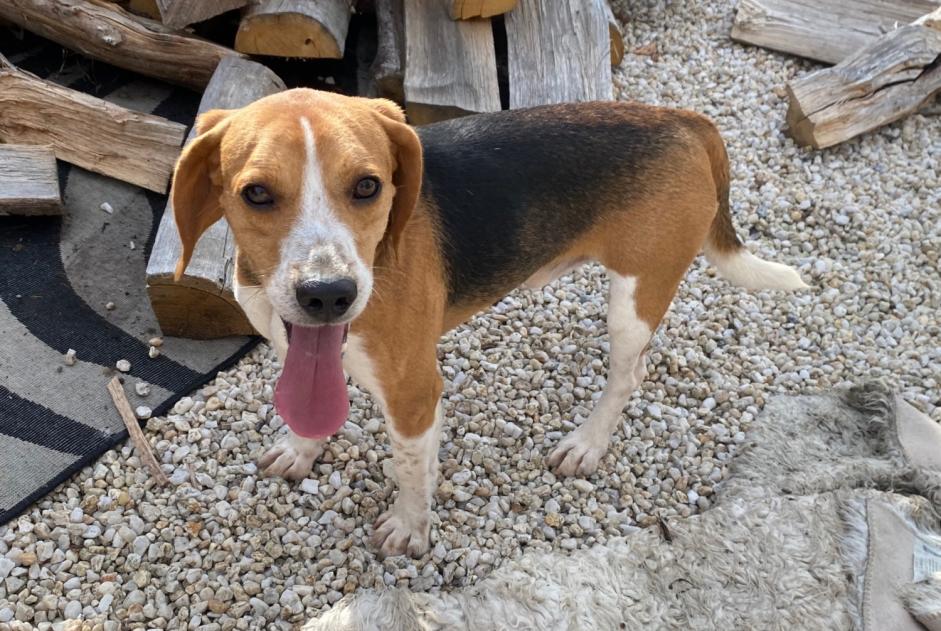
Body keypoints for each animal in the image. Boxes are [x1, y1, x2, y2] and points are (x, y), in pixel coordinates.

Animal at [171, 89, 808, 556]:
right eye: (256, 193)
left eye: (368, 186)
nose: (327, 295)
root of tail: (682, 118)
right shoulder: (290, 343)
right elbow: (310, 410)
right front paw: (301, 450)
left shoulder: (413, 391)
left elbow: (410, 470)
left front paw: (410, 527)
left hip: (635, 293)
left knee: (628, 375)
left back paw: (586, 444)